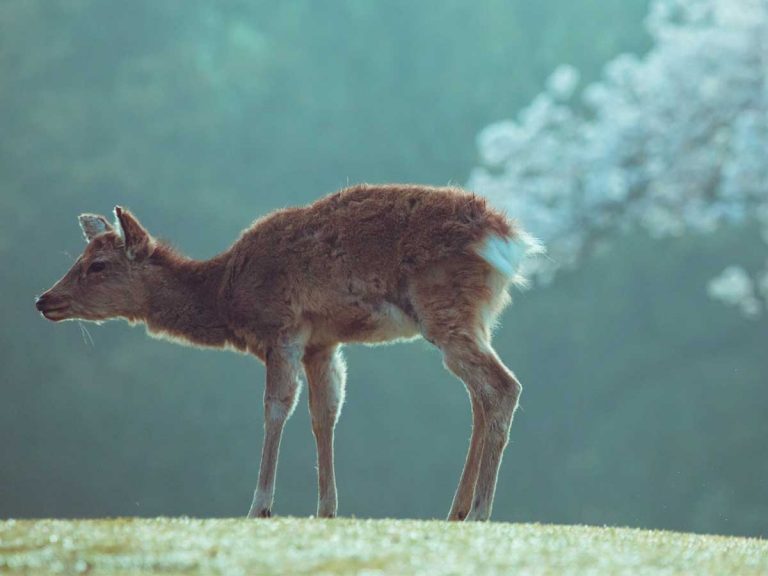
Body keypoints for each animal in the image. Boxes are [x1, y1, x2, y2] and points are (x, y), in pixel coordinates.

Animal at [36, 186, 540, 520]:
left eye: (98, 266)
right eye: (78, 259)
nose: (44, 299)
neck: (225, 294)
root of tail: (509, 239)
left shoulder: (282, 329)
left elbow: (276, 408)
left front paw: (259, 506)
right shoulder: (323, 342)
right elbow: (324, 414)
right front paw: (327, 509)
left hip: (445, 309)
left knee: (503, 386)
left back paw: (479, 512)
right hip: (475, 318)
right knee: (480, 396)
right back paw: (456, 511)